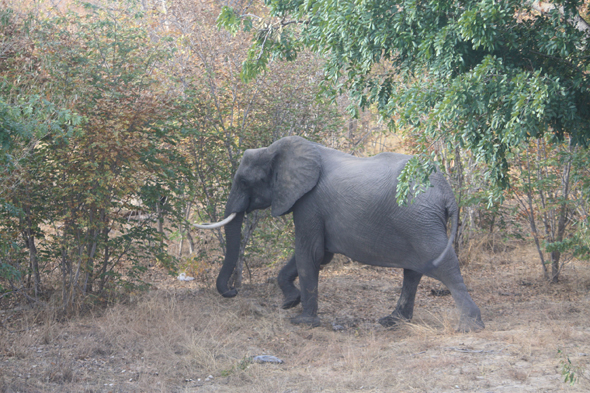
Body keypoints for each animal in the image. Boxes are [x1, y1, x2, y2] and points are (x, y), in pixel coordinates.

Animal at [197, 136, 488, 330]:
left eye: (245, 181)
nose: (233, 292)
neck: (275, 150)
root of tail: (447, 191)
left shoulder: (309, 202)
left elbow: (310, 254)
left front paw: (302, 321)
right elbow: (317, 254)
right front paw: (290, 302)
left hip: (421, 220)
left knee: (444, 266)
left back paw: (470, 326)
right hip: (418, 221)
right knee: (414, 271)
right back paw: (392, 321)